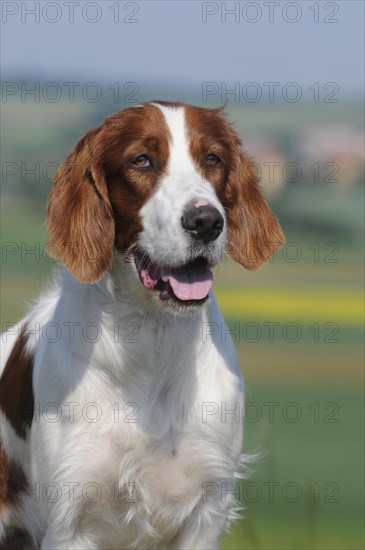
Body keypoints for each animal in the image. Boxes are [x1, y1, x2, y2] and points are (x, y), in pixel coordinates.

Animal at [0, 101, 284, 548]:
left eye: (213, 159)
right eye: (142, 160)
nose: (206, 222)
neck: (151, 335)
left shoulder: (206, 511)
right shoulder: (71, 520)